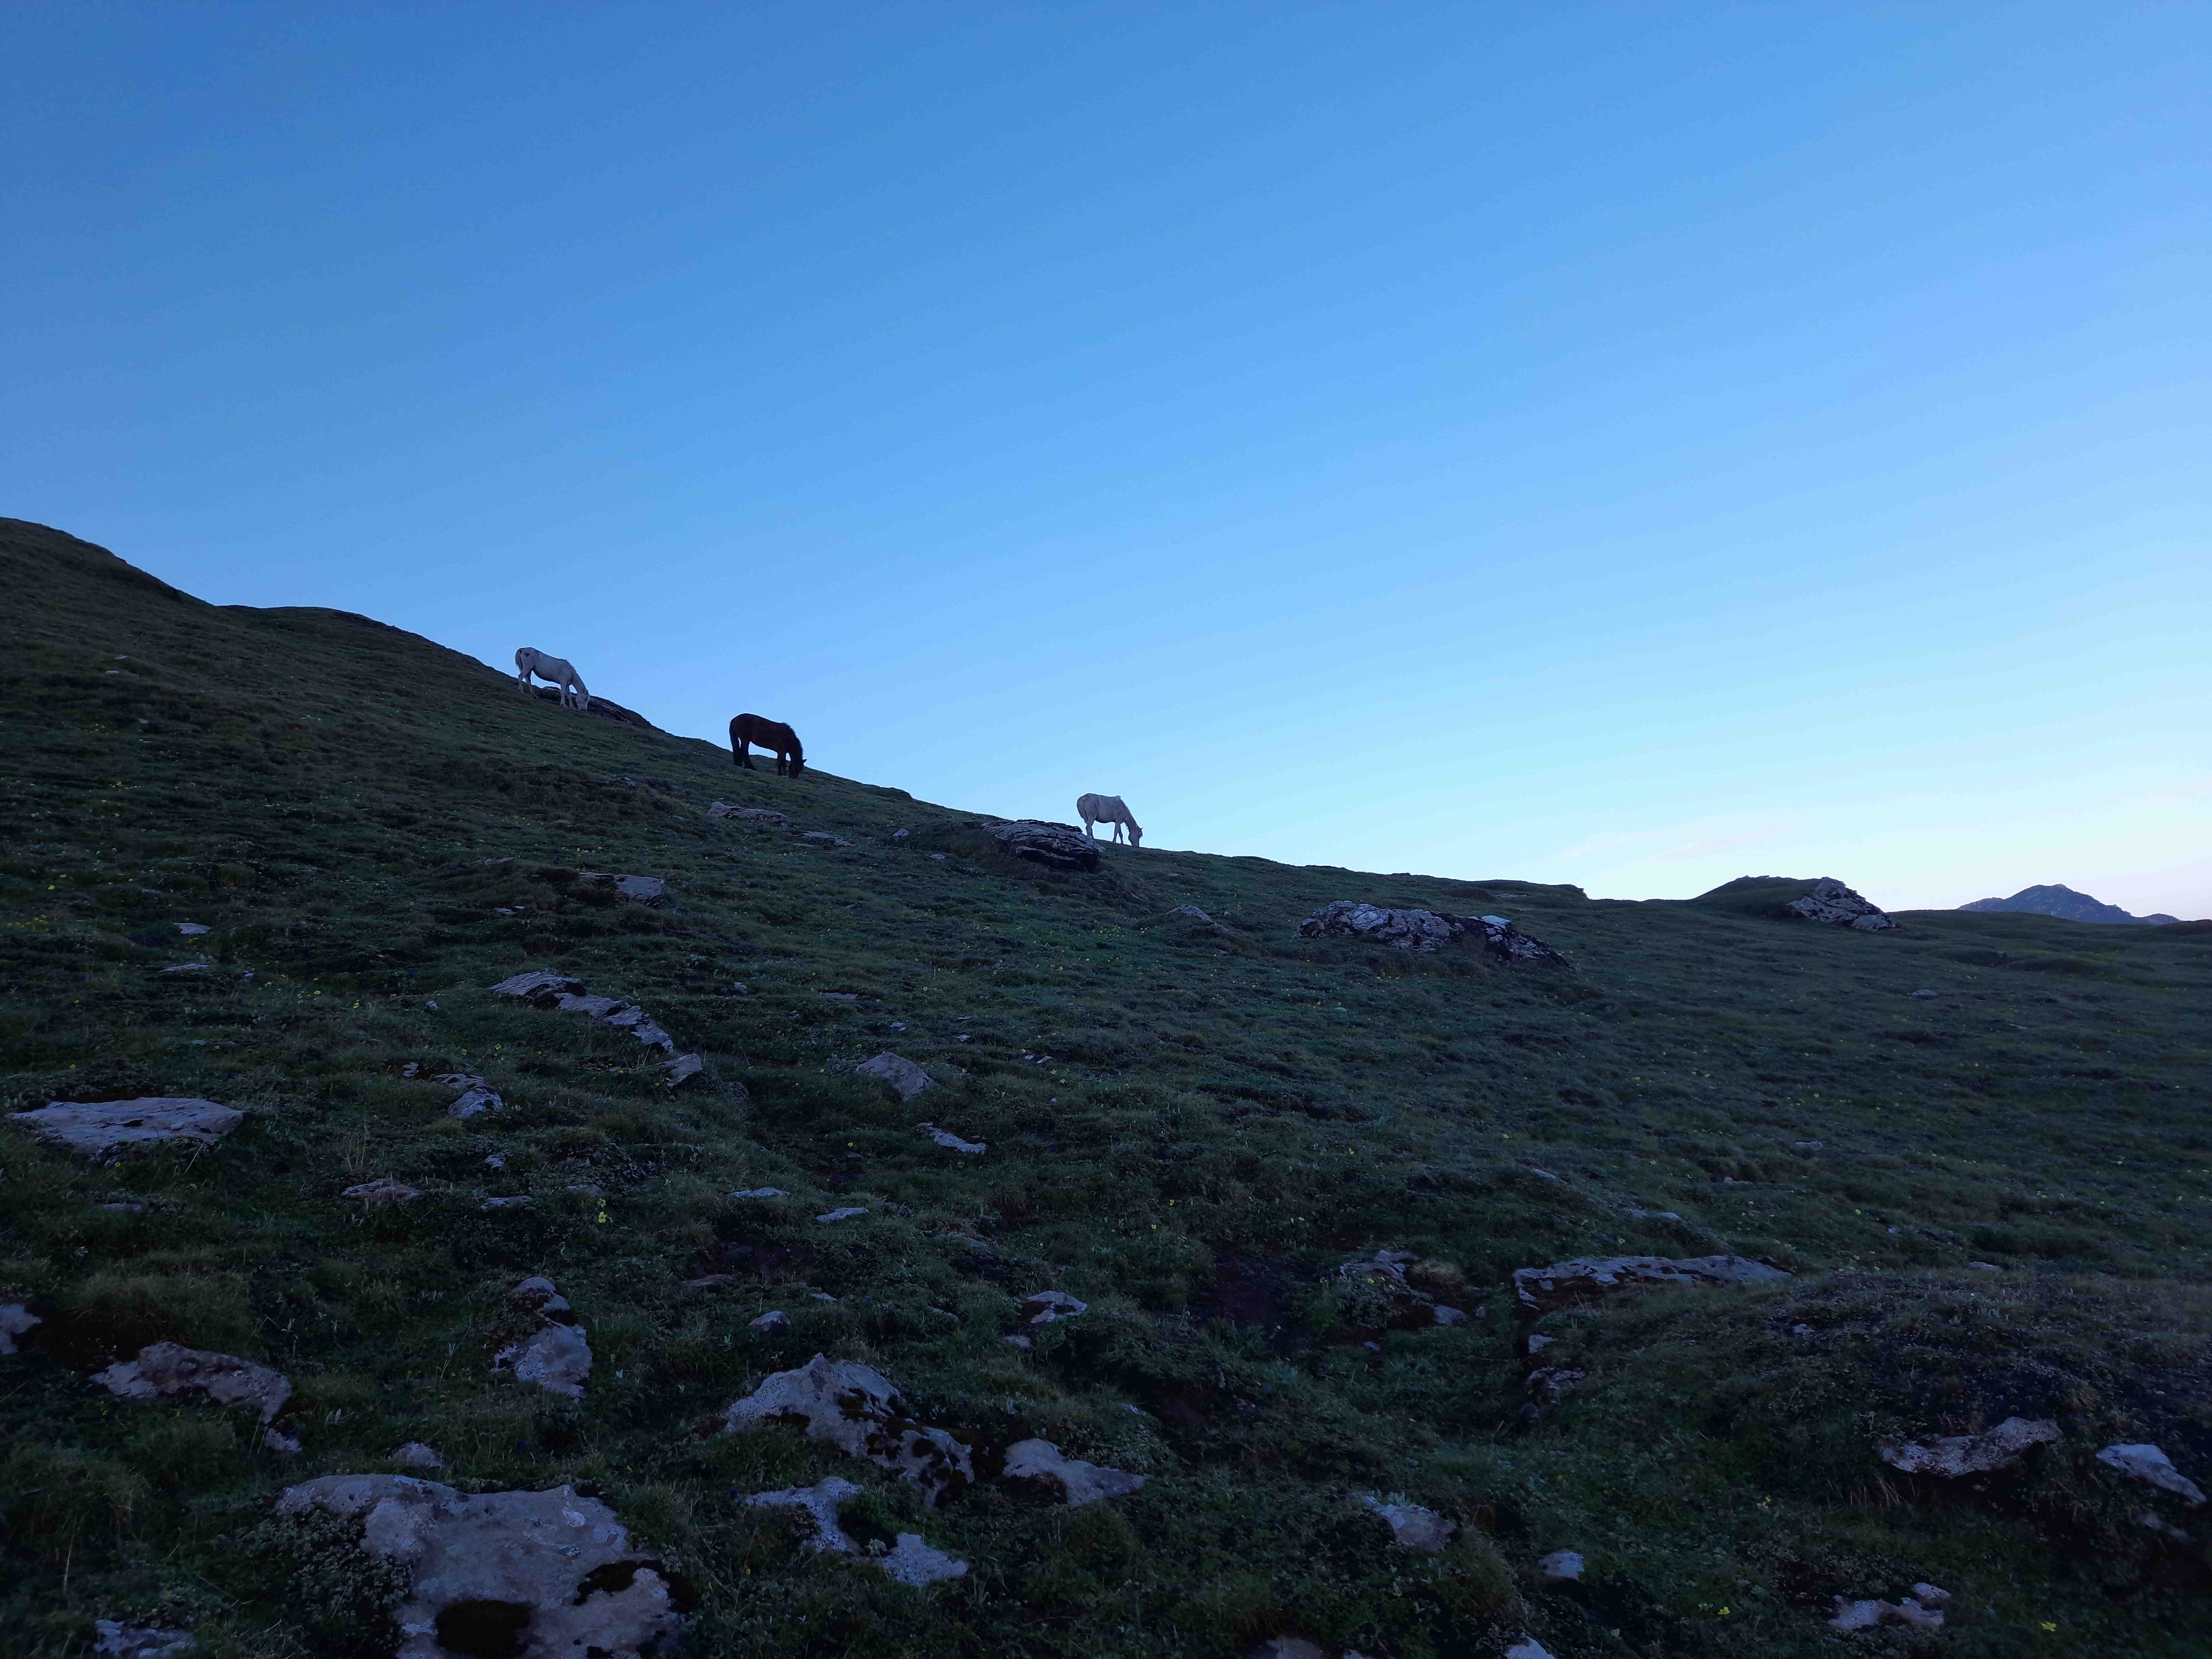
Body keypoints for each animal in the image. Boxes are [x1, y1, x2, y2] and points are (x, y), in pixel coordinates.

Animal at [515, 647, 589, 711]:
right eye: (586, 699)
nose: (584, 710)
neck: (570, 671)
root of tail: (522, 650)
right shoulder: (563, 682)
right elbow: (563, 693)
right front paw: (563, 705)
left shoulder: (567, 685)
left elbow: (569, 695)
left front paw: (572, 707)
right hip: (528, 667)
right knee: (521, 677)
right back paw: (521, 691)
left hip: (530, 669)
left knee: (528, 680)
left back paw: (534, 695)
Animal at [730, 713, 806, 777]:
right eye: (796, 768)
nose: (793, 778)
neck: (789, 738)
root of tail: (735, 719)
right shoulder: (783, 752)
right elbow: (783, 763)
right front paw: (784, 774)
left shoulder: (780, 752)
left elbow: (779, 763)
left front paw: (780, 774)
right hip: (746, 740)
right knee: (744, 751)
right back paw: (751, 767)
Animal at [1077, 793, 1142, 846]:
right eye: (1139, 836)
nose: (1137, 846)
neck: (1124, 808)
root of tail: (1084, 798)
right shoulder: (1118, 821)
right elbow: (1116, 831)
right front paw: (1114, 842)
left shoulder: (1118, 822)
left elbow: (1120, 833)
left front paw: (1122, 844)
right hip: (1092, 817)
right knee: (1089, 827)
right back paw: (1089, 838)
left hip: (1086, 818)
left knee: (1089, 828)